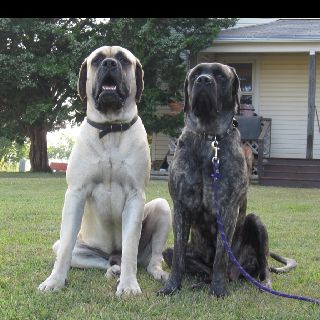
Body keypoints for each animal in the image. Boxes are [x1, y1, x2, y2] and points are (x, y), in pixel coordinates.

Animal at [38, 46, 171, 296]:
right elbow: (65, 248)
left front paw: (128, 285)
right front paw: (55, 281)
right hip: (83, 249)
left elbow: (130, 247)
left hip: (161, 207)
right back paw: (113, 270)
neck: (110, 128)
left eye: (123, 60)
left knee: (150, 258)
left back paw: (155, 272)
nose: (109, 63)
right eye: (97, 60)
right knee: (99, 260)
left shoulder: (135, 195)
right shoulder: (76, 193)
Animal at [159, 62, 296, 298]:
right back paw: (200, 282)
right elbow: (178, 259)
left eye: (221, 76)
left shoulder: (228, 209)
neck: (209, 138)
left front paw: (218, 291)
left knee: (261, 267)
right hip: (174, 250)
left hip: (256, 223)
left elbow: (221, 257)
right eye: (195, 74)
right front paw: (171, 287)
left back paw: (262, 285)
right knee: (192, 263)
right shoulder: (180, 206)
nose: (203, 80)